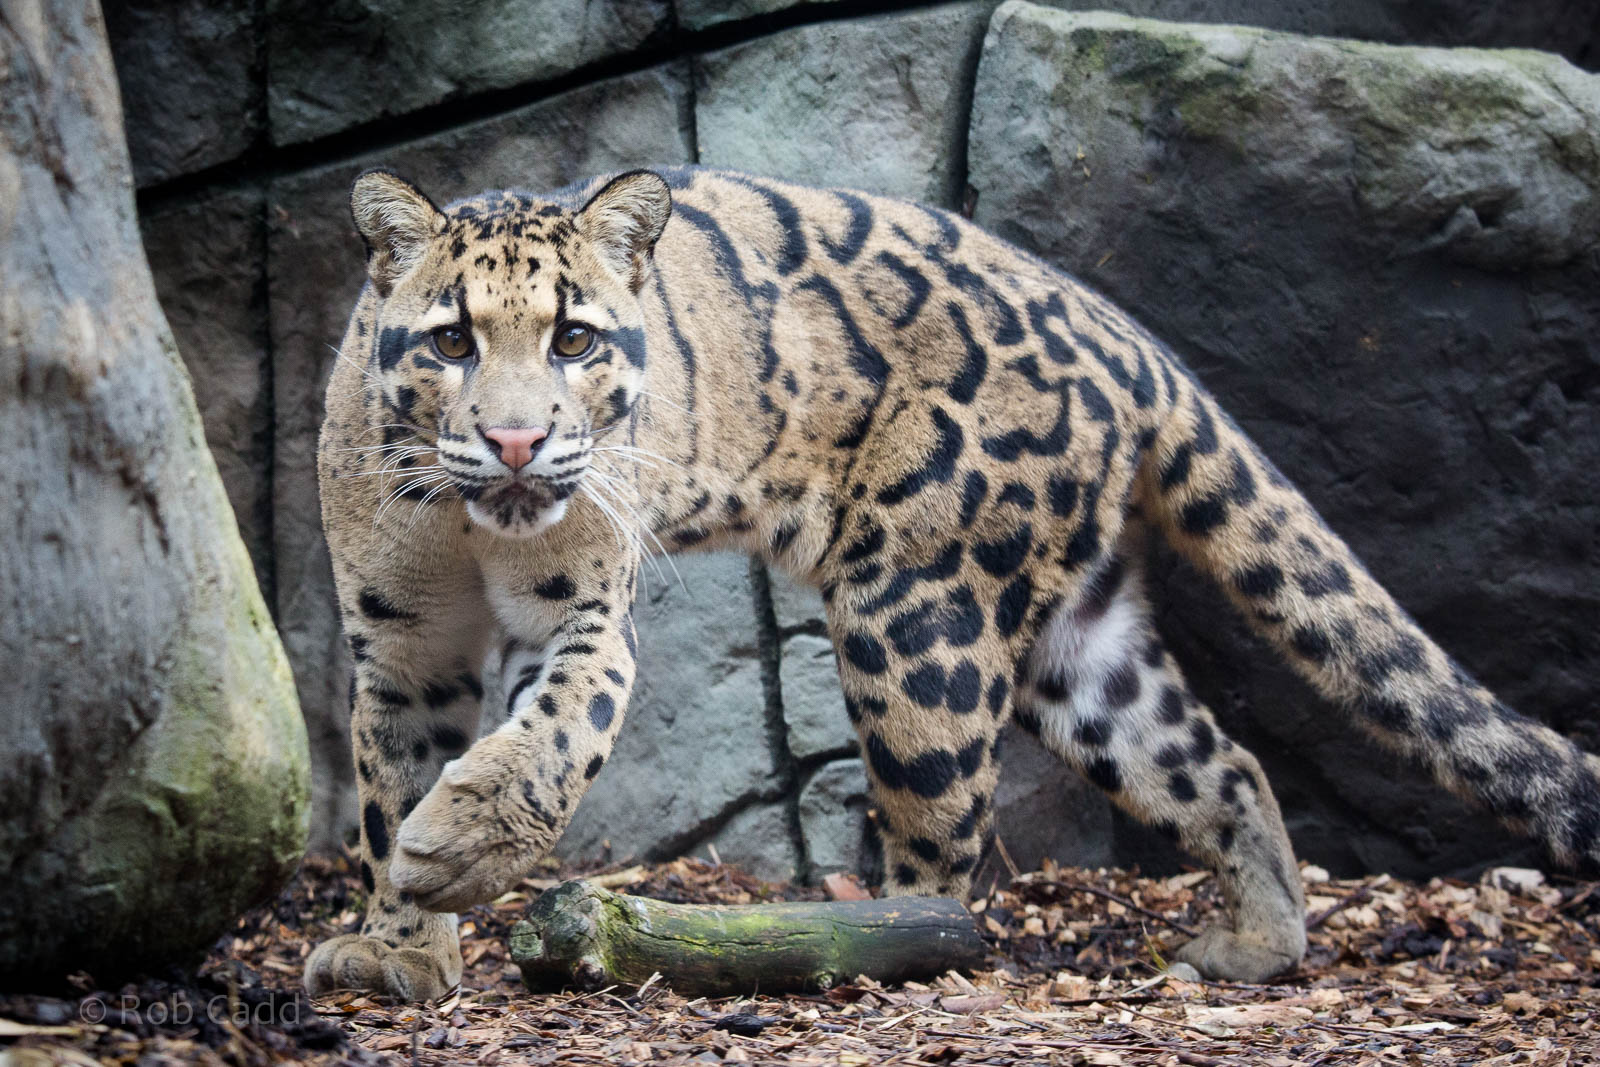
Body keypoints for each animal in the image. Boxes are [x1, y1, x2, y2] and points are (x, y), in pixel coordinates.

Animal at [306, 165, 1600, 1002]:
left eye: (573, 338)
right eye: (451, 340)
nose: (518, 441)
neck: (469, 531)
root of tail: (1124, 333)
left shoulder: (584, 608)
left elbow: (552, 734)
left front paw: (454, 845)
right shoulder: (401, 644)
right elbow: (385, 783)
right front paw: (401, 941)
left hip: (915, 611)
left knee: (945, 839)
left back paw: (859, 943)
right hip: (1084, 649)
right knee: (1217, 760)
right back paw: (1256, 948)